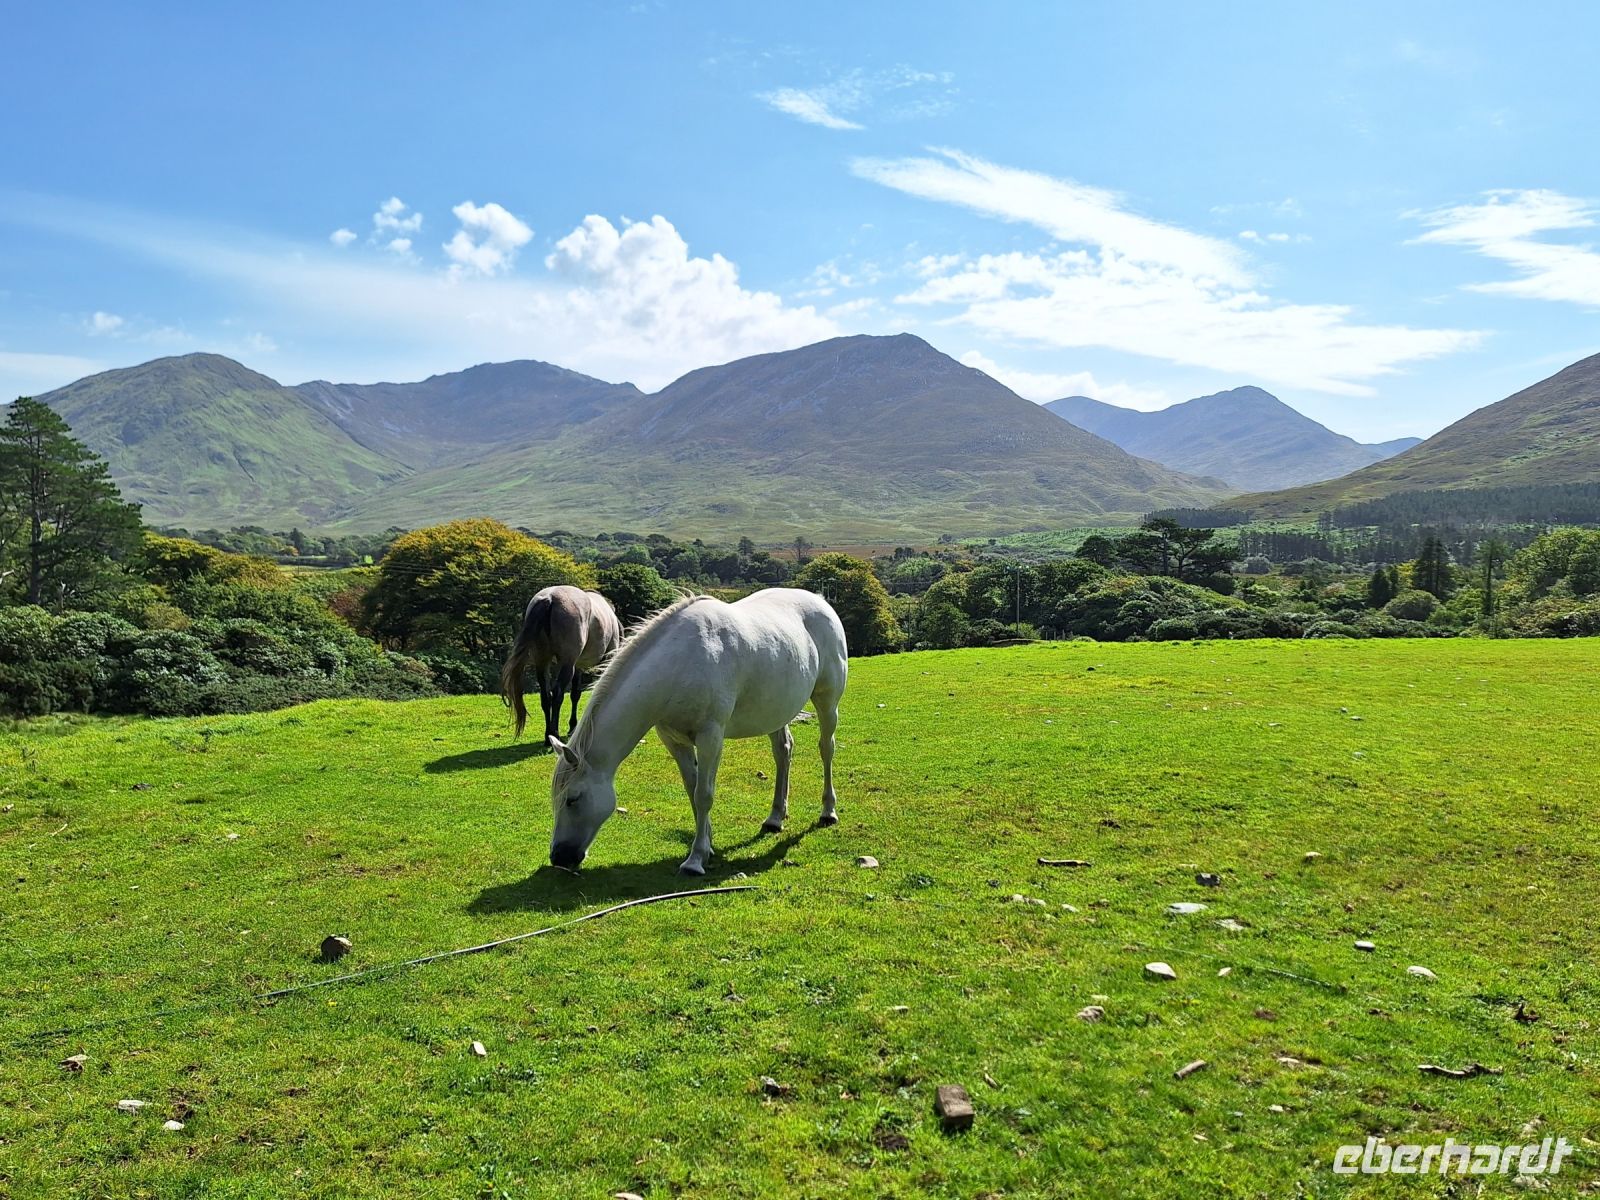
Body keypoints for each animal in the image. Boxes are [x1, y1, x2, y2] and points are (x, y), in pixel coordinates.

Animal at [500, 585, 623, 743]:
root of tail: (549, 598)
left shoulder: (578, 666)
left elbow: (575, 694)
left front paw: (573, 726)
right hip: (566, 664)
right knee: (557, 694)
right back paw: (554, 733)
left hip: (542, 661)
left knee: (546, 696)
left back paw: (548, 735)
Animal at [546, 588, 847, 875]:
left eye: (572, 799)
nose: (559, 857)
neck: (680, 663)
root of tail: (820, 601)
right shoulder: (674, 740)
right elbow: (692, 790)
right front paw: (707, 845)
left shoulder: (710, 738)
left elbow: (704, 794)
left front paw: (695, 860)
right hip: (775, 711)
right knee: (783, 752)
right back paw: (775, 818)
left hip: (827, 702)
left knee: (826, 748)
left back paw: (828, 811)